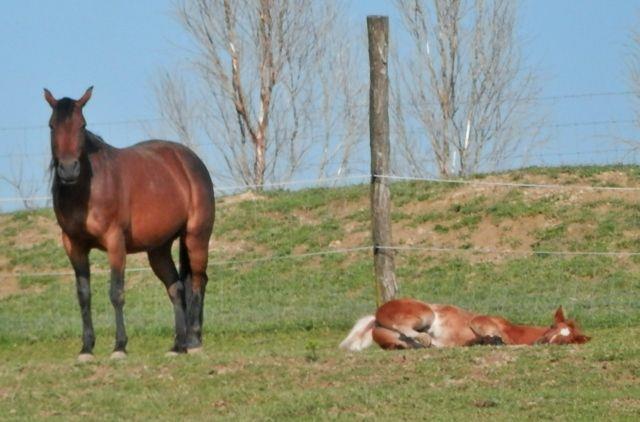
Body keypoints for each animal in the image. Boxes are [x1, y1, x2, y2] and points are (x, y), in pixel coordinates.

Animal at [45, 87, 216, 362]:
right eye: (52, 125)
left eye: (82, 125)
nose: (69, 169)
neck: (87, 189)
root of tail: (189, 160)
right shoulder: (74, 246)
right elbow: (84, 295)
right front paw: (86, 348)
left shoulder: (115, 242)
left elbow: (116, 292)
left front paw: (119, 346)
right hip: (158, 250)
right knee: (177, 288)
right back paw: (177, 345)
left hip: (196, 237)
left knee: (199, 281)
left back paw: (193, 340)